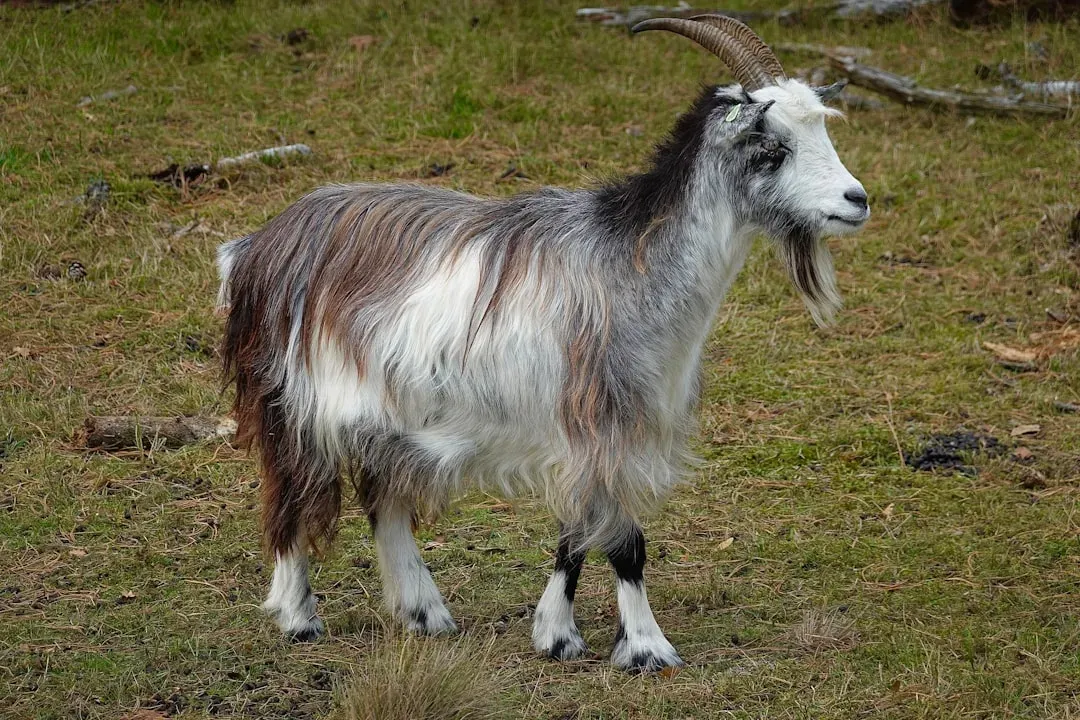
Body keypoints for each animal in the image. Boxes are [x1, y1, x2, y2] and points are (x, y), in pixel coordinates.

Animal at [217, 15, 869, 672]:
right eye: (772, 148)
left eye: (820, 131)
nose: (857, 200)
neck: (633, 267)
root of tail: (256, 245)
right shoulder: (600, 423)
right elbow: (625, 542)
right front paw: (648, 647)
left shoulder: (591, 434)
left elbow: (576, 534)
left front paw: (557, 634)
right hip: (291, 402)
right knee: (289, 496)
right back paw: (298, 618)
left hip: (389, 413)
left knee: (384, 500)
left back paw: (426, 614)